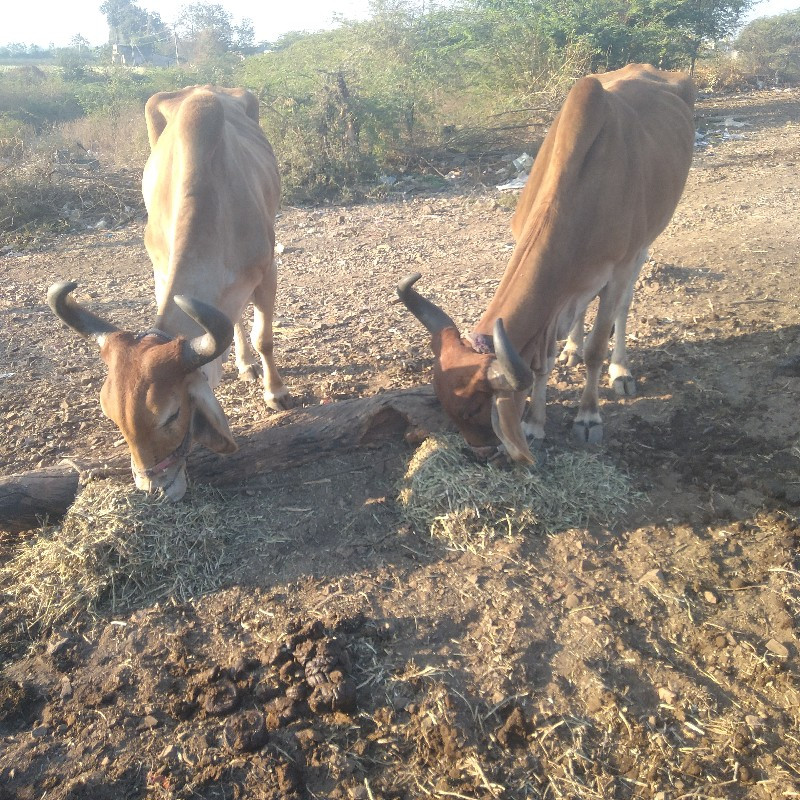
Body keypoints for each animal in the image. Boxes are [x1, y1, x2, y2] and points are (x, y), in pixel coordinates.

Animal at [49, 87, 290, 500]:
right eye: (111, 415)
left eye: (172, 415)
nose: (154, 487)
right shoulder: (161, 271)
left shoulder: (266, 270)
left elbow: (265, 338)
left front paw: (275, 393)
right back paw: (242, 364)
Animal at [400, 65, 692, 466]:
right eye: (444, 405)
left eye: (475, 410)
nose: (482, 454)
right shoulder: (556, 296)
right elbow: (544, 360)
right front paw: (535, 423)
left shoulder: (618, 267)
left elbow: (597, 348)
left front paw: (587, 416)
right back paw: (572, 347)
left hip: (643, 247)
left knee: (623, 306)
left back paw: (620, 370)